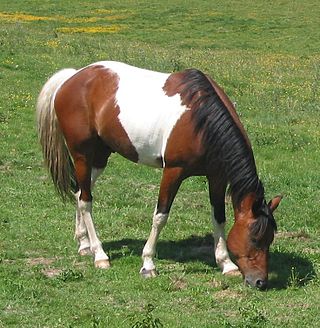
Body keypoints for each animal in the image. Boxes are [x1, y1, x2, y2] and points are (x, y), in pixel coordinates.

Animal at [37, 61, 280, 290]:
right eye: (255, 238)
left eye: (270, 238)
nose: (260, 282)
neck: (201, 121)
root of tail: (72, 78)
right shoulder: (173, 172)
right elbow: (160, 216)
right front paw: (148, 264)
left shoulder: (217, 176)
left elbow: (219, 217)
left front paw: (226, 263)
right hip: (82, 156)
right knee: (86, 201)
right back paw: (100, 255)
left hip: (99, 157)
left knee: (80, 193)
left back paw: (84, 244)